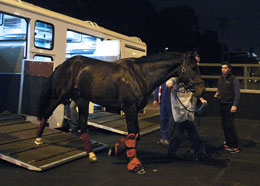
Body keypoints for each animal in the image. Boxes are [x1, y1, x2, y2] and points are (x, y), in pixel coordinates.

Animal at [35, 50, 205, 173]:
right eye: (193, 67)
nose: (201, 89)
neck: (140, 76)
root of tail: (64, 65)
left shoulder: (134, 109)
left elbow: (135, 135)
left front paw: (116, 149)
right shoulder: (129, 108)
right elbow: (132, 134)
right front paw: (135, 164)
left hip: (82, 99)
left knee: (83, 124)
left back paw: (91, 154)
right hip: (59, 96)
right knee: (46, 113)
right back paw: (37, 140)